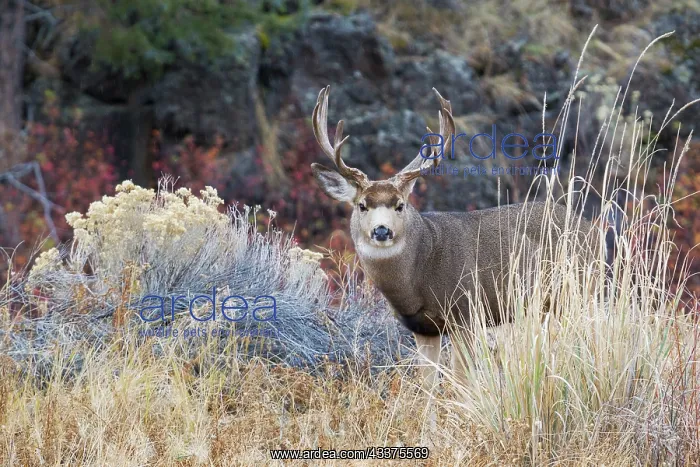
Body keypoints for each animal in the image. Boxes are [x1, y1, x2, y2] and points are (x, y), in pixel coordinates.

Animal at [309, 85, 596, 397]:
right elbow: (427, 386)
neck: (417, 277)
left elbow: (462, 382)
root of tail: (587, 225)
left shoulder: (467, 313)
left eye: (400, 205)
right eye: (362, 205)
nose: (382, 231)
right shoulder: (422, 327)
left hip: (578, 289)